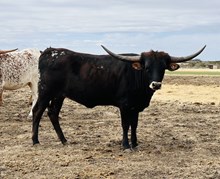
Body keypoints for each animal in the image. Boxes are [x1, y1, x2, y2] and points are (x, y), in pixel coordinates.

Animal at [31, 45, 205, 150]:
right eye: (147, 68)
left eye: (163, 68)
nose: (156, 84)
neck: (136, 76)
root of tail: (49, 52)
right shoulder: (125, 105)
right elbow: (125, 125)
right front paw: (126, 145)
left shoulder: (136, 107)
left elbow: (134, 125)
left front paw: (135, 143)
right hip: (45, 92)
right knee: (37, 112)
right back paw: (35, 140)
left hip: (59, 95)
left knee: (52, 113)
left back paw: (64, 140)